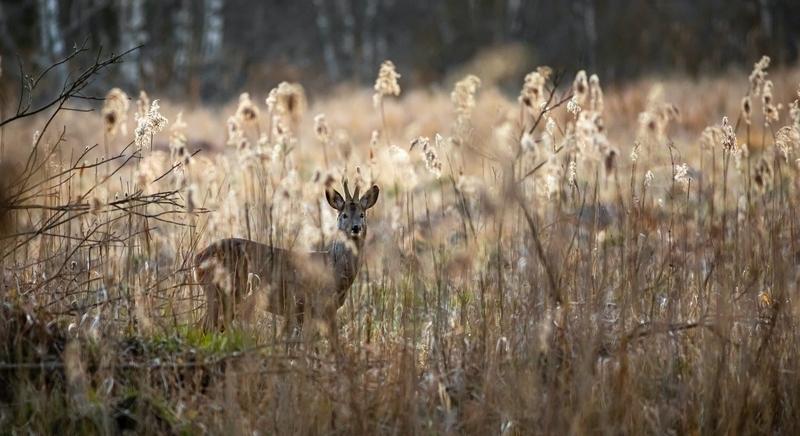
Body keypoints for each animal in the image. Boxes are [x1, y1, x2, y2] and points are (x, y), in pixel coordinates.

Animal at [195, 180, 380, 348]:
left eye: (362, 214)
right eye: (344, 215)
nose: (356, 228)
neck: (334, 269)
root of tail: (197, 259)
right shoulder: (306, 304)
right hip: (221, 292)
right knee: (204, 327)